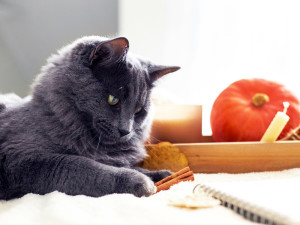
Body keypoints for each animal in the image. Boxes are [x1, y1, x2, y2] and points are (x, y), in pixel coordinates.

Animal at [0, 36, 179, 200]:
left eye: (138, 111)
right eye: (113, 99)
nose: (125, 130)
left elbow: (133, 167)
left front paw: (163, 175)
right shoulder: (22, 158)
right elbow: (83, 166)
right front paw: (140, 182)